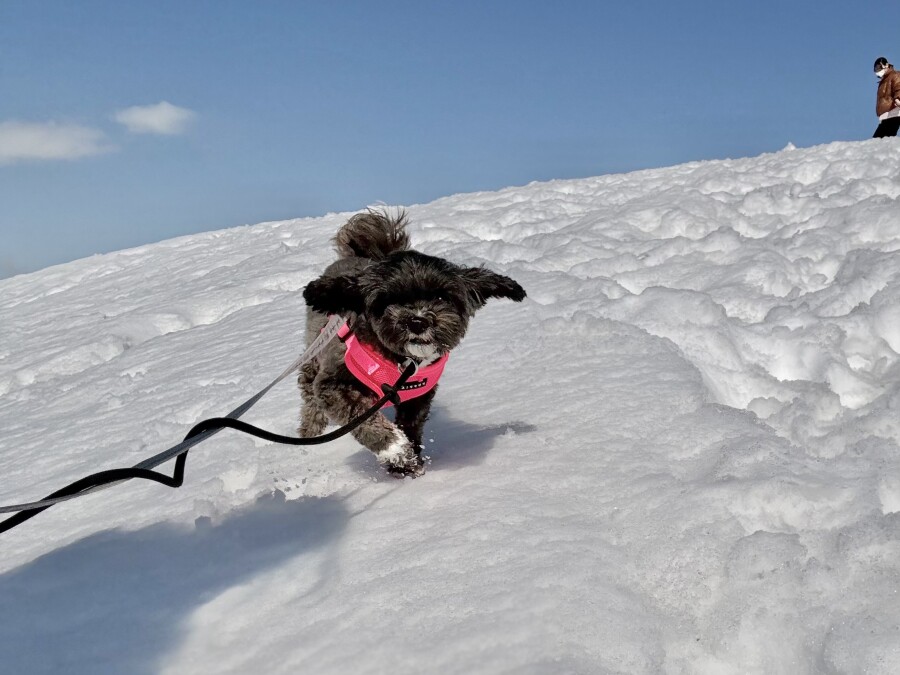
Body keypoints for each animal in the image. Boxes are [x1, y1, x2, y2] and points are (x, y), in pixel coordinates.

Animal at [299, 208, 526, 476]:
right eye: (389, 300)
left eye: (441, 297)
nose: (417, 322)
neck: (403, 364)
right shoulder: (332, 386)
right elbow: (362, 418)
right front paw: (395, 448)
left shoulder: (418, 398)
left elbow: (411, 426)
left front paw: (407, 464)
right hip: (313, 360)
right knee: (310, 401)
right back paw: (308, 437)